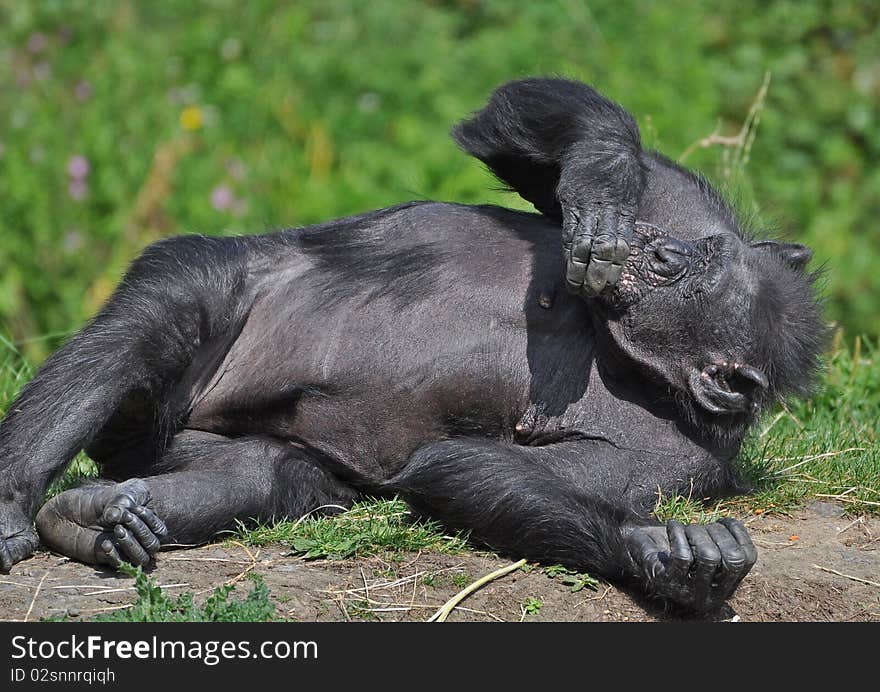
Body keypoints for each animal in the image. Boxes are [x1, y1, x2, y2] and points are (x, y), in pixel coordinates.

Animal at [0, 78, 824, 612]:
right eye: (684, 258)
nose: (657, 250)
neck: (628, 357)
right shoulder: (683, 202)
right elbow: (526, 124)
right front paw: (600, 177)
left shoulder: (672, 459)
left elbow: (467, 464)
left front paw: (665, 558)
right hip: (210, 304)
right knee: (162, 309)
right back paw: (17, 505)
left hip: (173, 442)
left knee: (268, 475)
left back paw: (95, 520)